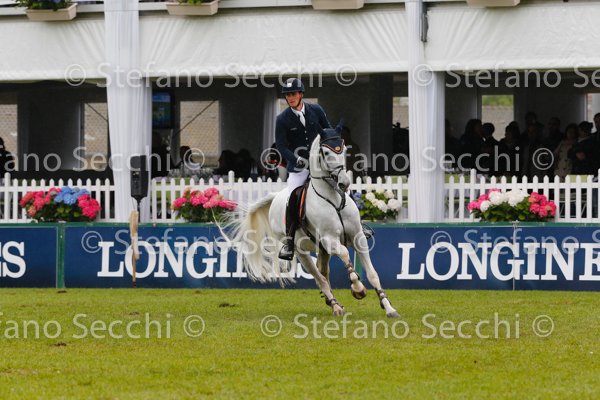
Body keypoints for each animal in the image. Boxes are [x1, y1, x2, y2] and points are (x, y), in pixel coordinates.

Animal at [225, 127, 399, 318]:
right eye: (326, 153)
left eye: (343, 150)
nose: (344, 183)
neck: (333, 199)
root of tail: (276, 196)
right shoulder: (330, 239)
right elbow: (345, 254)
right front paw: (358, 288)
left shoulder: (358, 237)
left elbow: (372, 274)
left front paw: (389, 307)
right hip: (300, 250)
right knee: (319, 277)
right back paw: (335, 305)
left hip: (322, 249)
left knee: (323, 272)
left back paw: (332, 302)